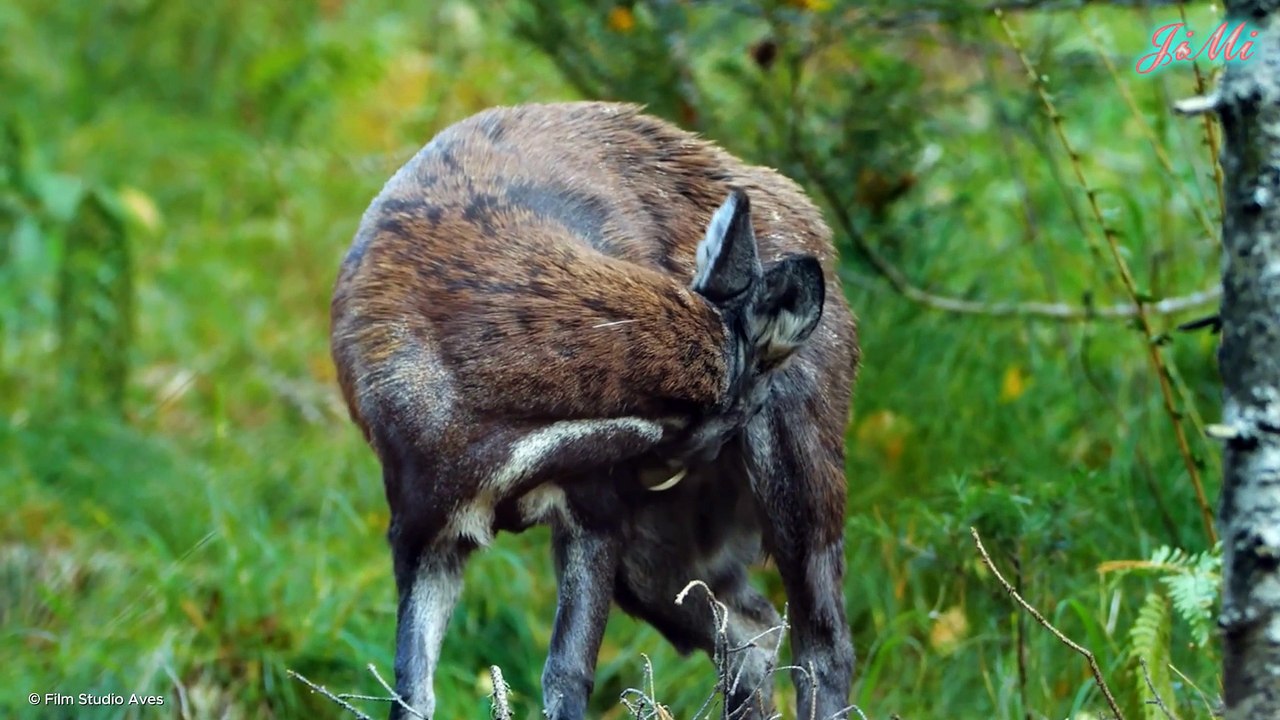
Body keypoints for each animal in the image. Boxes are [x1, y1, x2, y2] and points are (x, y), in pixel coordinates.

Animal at [329, 101, 860, 720]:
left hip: (797, 478)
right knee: (752, 630)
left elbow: (567, 675)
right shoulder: (418, 527)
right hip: (655, 555)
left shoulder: (596, 508)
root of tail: (807, 215)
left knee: (824, 646)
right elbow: (409, 691)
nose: (682, 464)